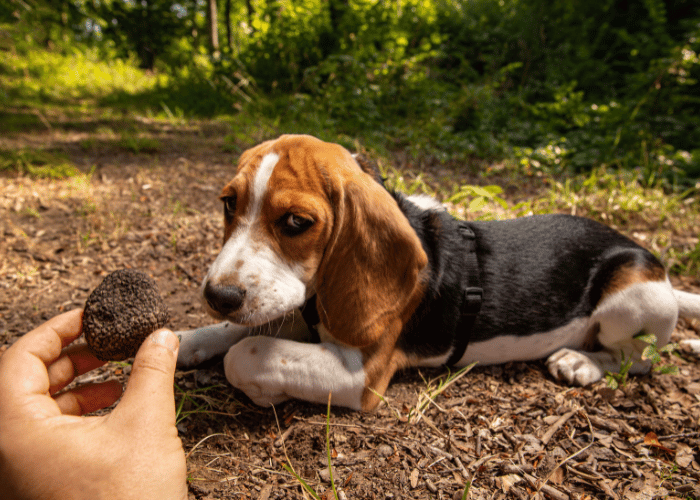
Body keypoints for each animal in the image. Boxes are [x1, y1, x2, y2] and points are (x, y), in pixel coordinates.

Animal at [176, 134, 700, 410]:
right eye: (229, 204)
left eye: (296, 223)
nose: (217, 295)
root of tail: (653, 264)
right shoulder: (307, 310)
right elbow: (234, 332)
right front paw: (184, 340)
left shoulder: (360, 374)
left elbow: (248, 351)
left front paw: (261, 387)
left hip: (632, 299)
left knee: (639, 360)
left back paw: (581, 362)